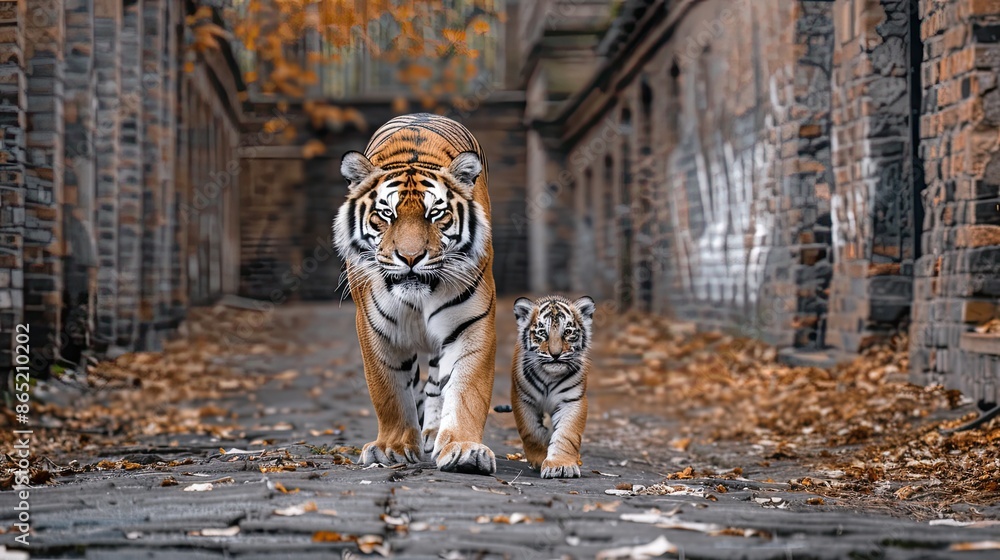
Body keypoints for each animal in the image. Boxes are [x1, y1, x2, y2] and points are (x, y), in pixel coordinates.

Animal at [332, 113, 498, 475]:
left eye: (435, 214)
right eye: (386, 214)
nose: (410, 257)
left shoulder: (471, 324)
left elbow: (467, 390)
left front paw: (464, 449)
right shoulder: (375, 329)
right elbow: (389, 391)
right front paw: (391, 448)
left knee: (437, 384)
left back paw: (435, 433)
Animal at [511, 295, 595, 478]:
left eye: (568, 332)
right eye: (542, 332)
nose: (555, 355)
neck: (549, 376)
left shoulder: (572, 401)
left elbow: (566, 434)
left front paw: (561, 466)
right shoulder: (523, 399)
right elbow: (531, 431)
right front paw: (539, 458)